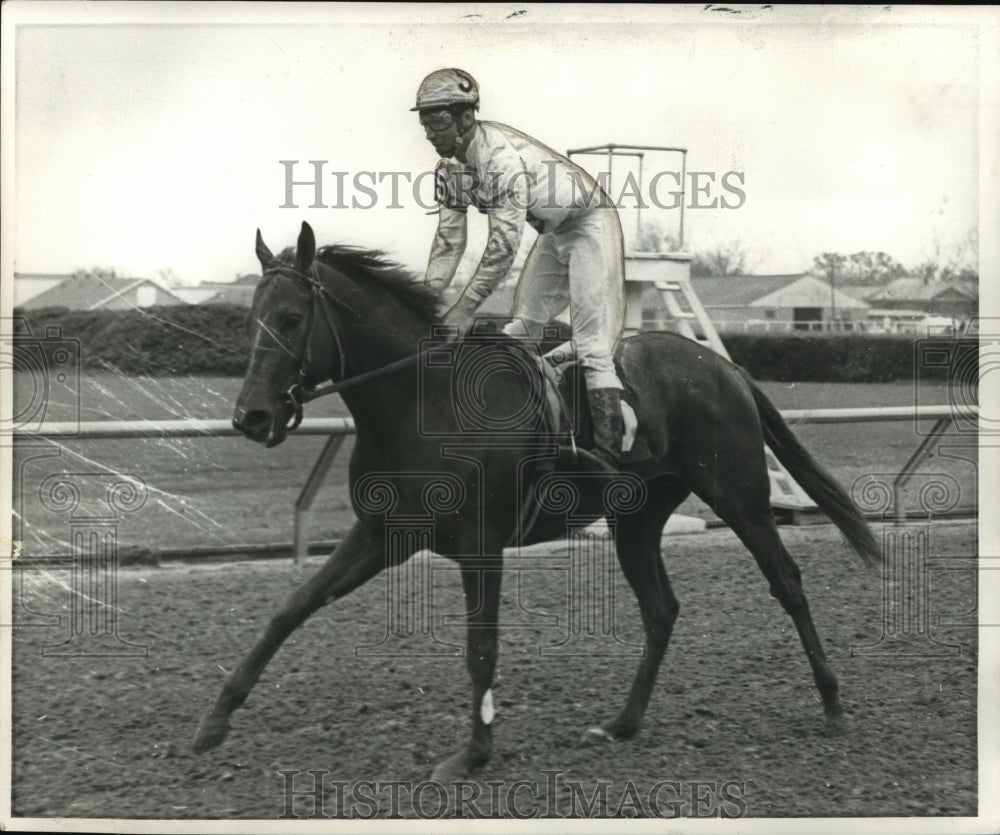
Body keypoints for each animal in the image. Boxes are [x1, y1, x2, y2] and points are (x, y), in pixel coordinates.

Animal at [191, 222, 880, 784]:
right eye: (247, 319)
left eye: (290, 318)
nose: (250, 416)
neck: (420, 403)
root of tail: (725, 367)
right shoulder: (383, 533)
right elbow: (291, 607)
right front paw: (214, 721)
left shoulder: (481, 545)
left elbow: (481, 648)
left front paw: (473, 754)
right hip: (636, 518)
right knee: (661, 608)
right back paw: (622, 722)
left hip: (739, 495)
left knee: (786, 581)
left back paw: (833, 704)